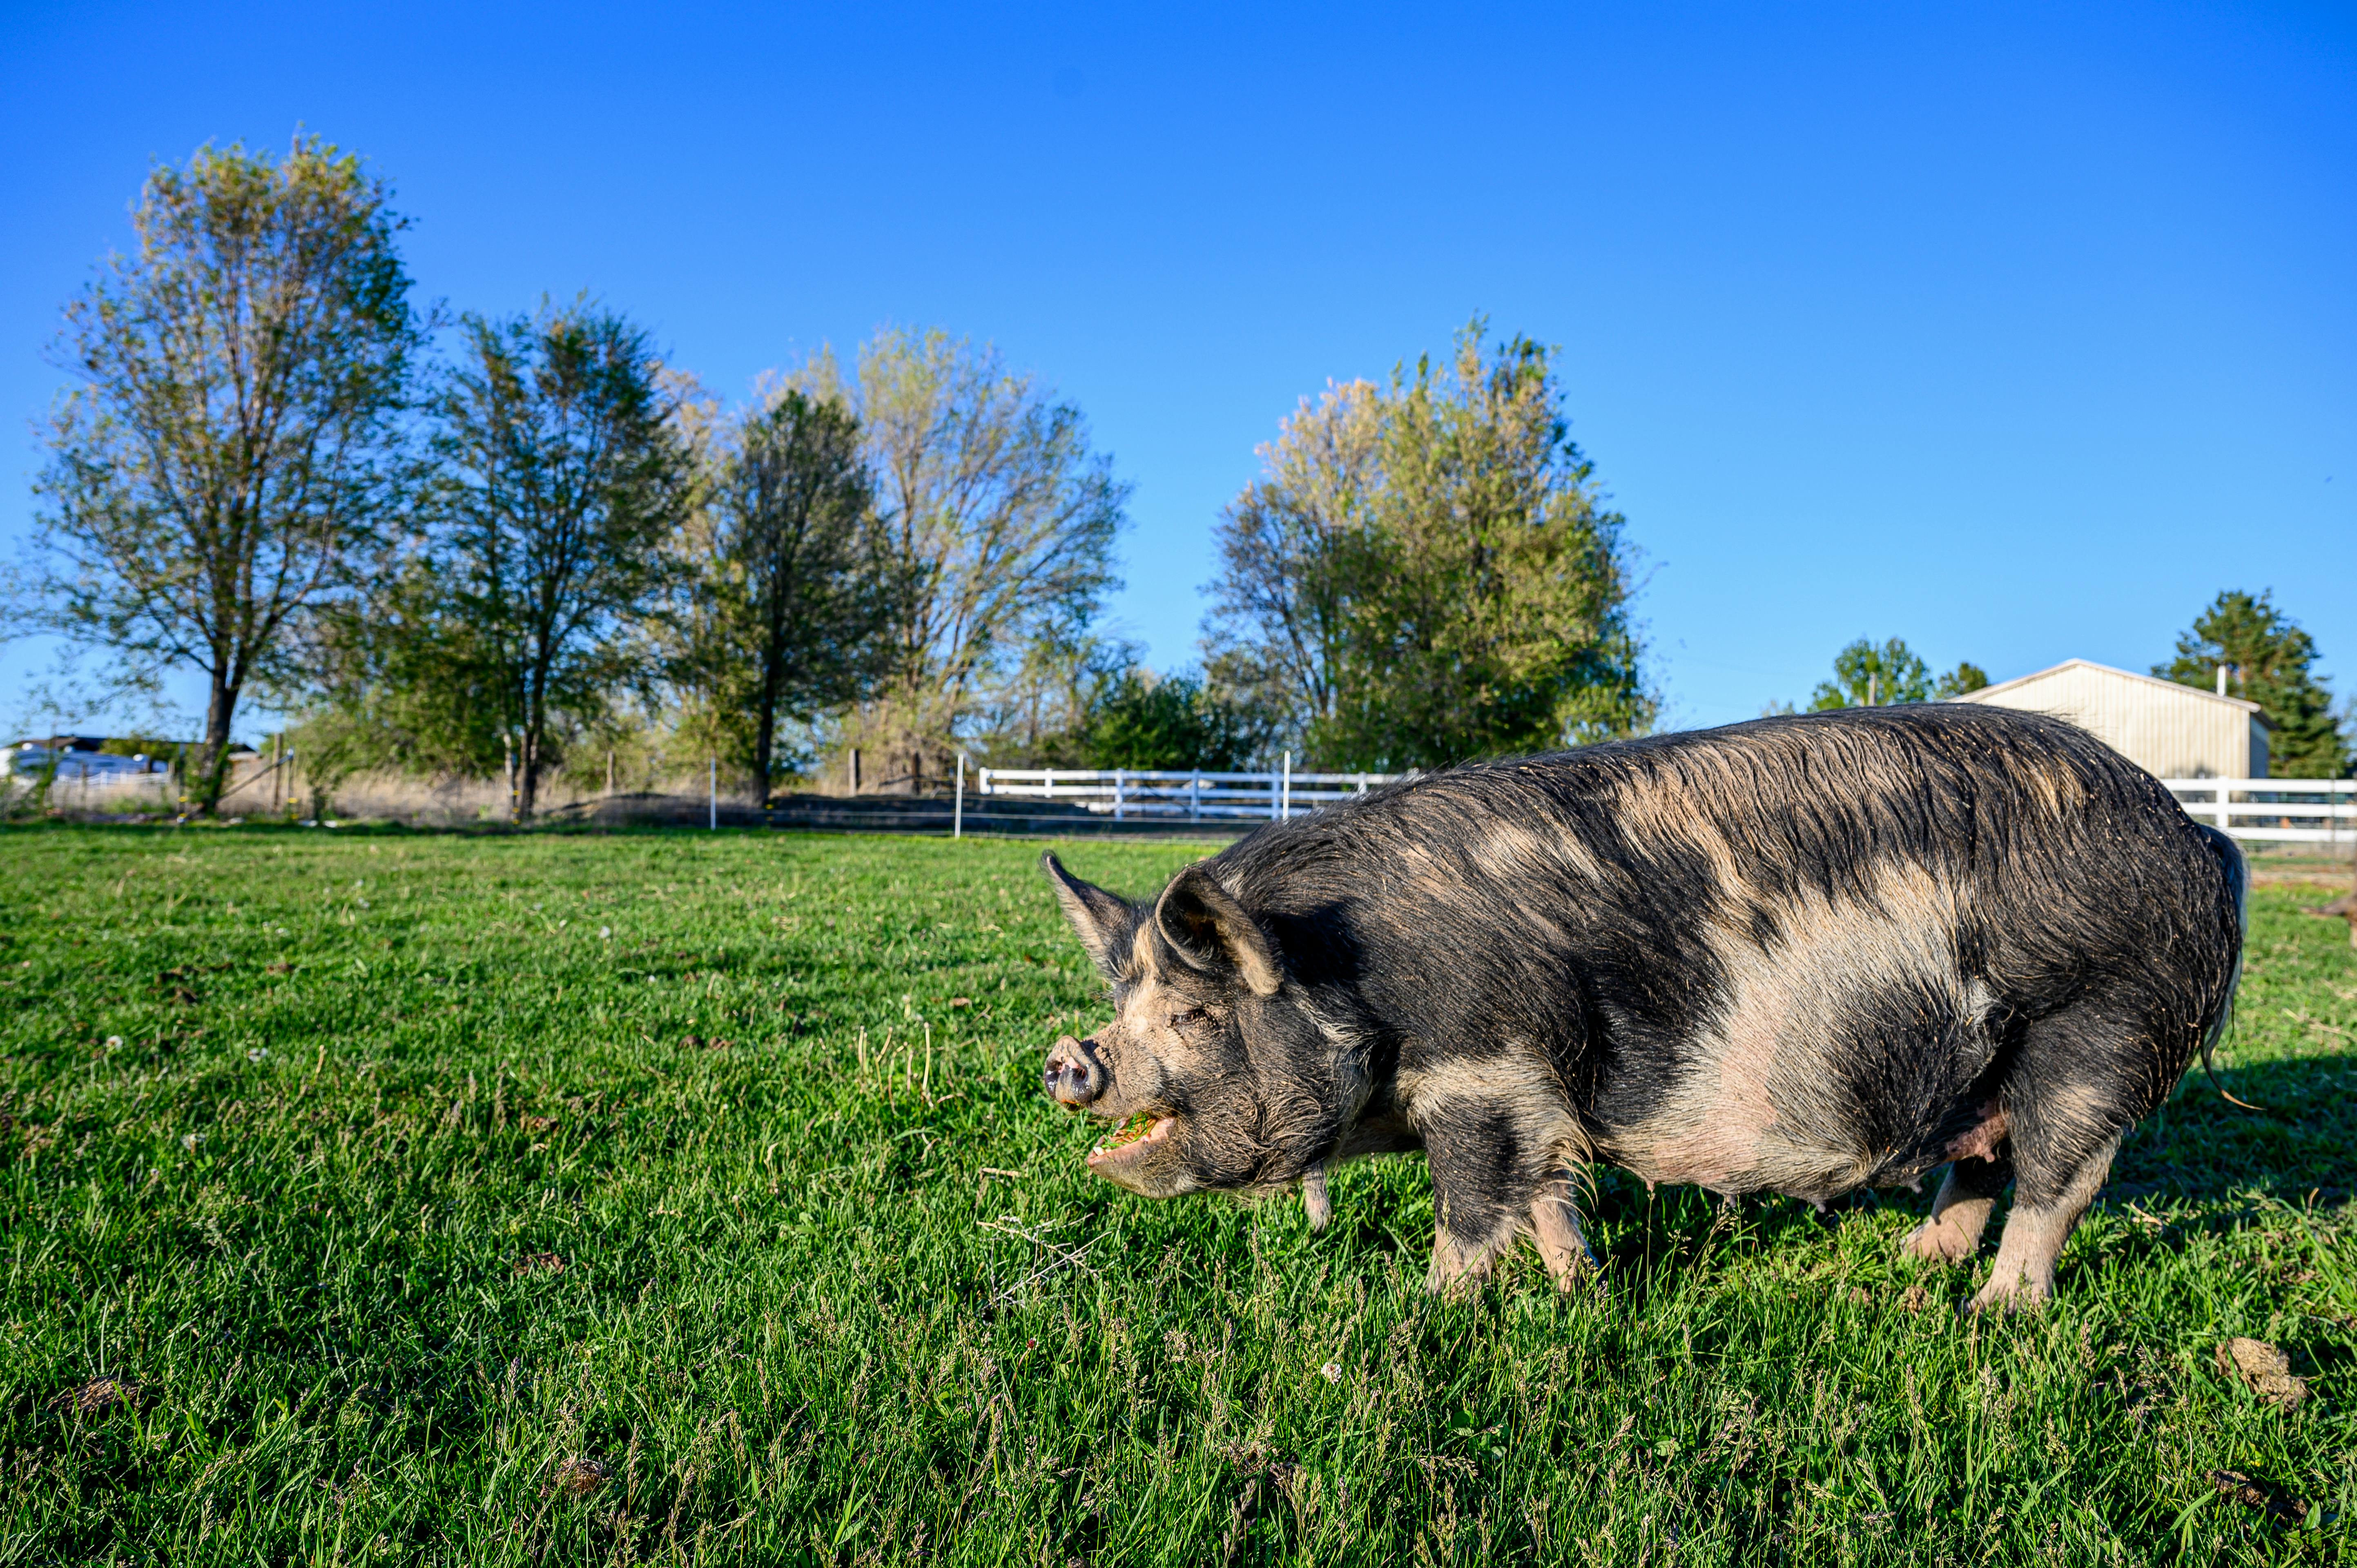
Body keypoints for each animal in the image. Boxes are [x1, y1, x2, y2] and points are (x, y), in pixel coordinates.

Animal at [1046, 698, 2243, 1311]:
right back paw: (1912, 1270)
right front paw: (1579, 1291)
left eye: (1195, 1017)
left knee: (2057, 1182)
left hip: (2099, 1029)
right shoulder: (1536, 1093)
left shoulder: (1483, 1070)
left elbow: (1472, 1205)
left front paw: (1431, 1312)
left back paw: (1992, 1315)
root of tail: (2198, 839)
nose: (1070, 1060)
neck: (1357, 976)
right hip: (1987, 1064)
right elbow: (1546, 1196)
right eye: (1125, 998)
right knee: (1980, 1163)